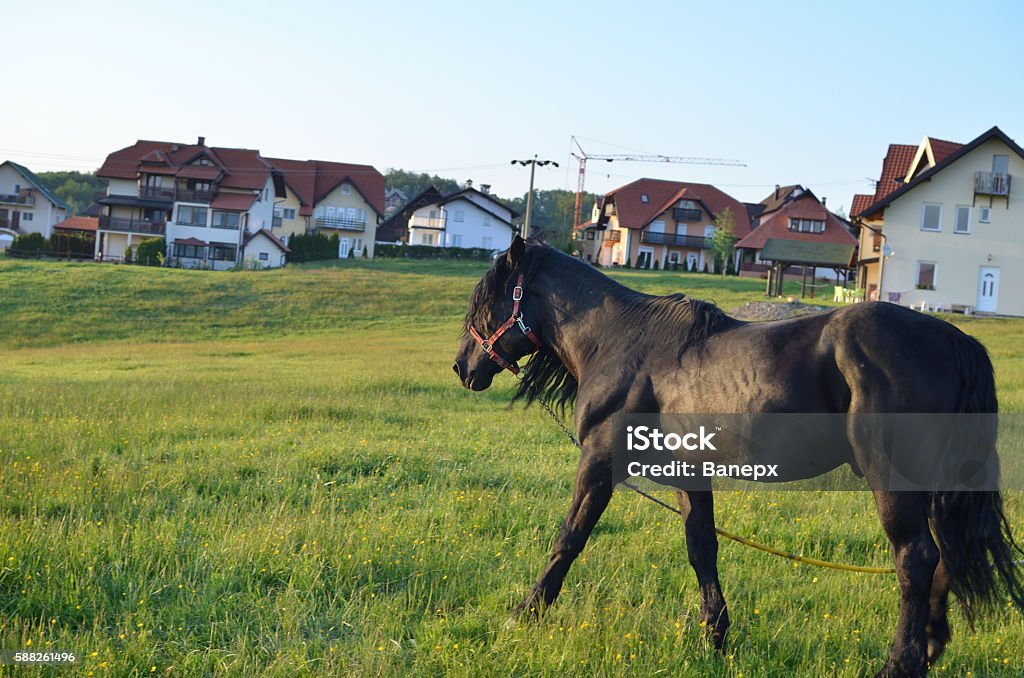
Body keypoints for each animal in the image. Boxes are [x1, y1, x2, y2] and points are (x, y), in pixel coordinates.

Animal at [454, 237, 1024, 678]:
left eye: (488, 301)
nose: (463, 366)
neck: (618, 341)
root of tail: (953, 338)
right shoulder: (689, 471)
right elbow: (702, 548)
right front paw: (716, 636)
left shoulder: (599, 461)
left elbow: (569, 538)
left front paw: (524, 613)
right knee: (943, 556)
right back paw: (927, 649)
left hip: (892, 479)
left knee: (916, 558)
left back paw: (899, 662)